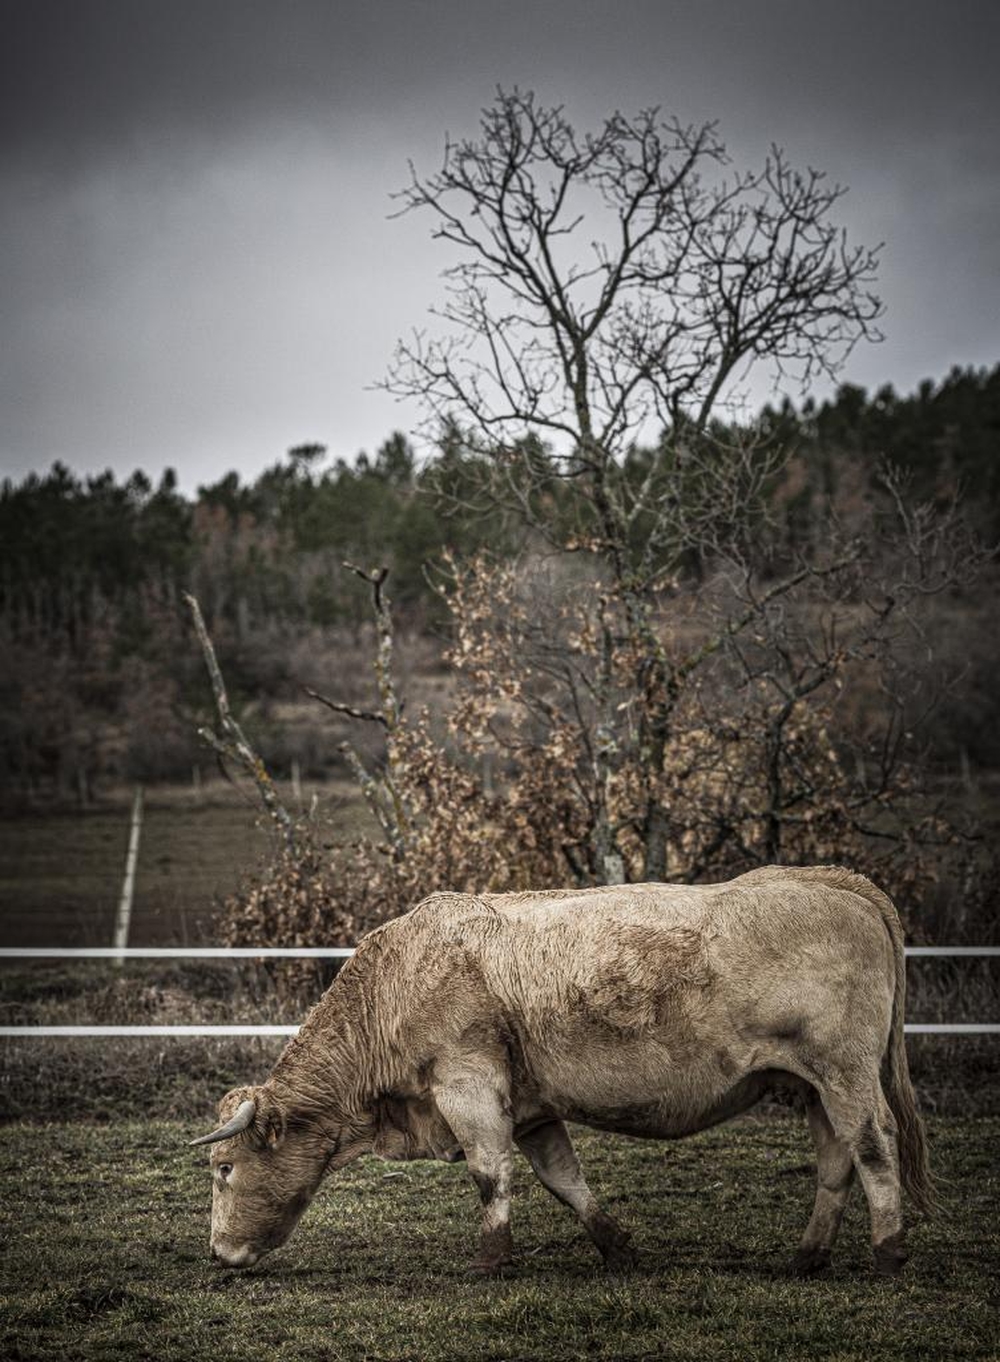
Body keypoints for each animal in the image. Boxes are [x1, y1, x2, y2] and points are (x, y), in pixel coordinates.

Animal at [193, 871, 931, 1274]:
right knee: (836, 1159)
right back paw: (808, 1257)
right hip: (814, 1087)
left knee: (873, 1145)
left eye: (225, 1168)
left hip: (845, 1074)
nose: (218, 1253)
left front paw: (491, 1258)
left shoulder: (466, 1084)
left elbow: (489, 1174)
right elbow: (564, 1180)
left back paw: (889, 1251)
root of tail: (834, 880)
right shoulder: (532, 1109)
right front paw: (618, 1247)